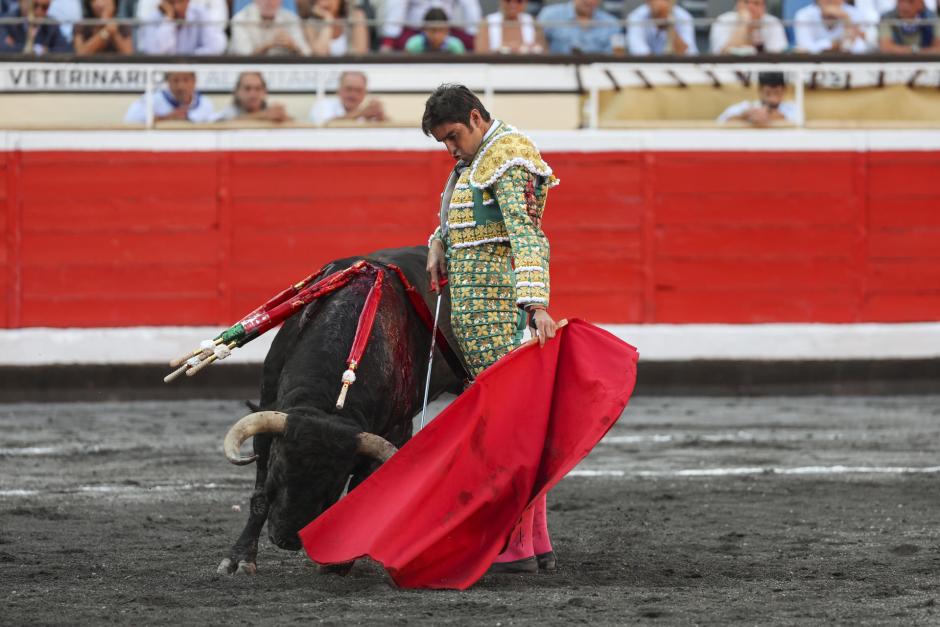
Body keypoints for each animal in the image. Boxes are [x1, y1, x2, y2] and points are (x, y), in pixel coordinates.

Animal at [214, 248, 462, 576]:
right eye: (280, 471)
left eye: (334, 483)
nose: (287, 539)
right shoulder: (267, 414)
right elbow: (258, 497)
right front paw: (239, 558)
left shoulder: (395, 431)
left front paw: (338, 561)